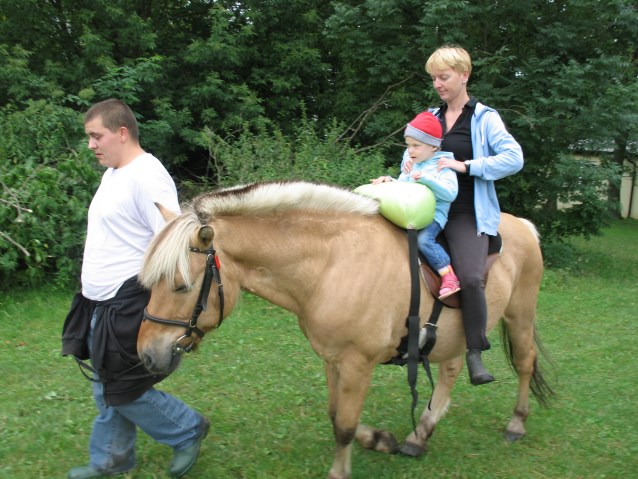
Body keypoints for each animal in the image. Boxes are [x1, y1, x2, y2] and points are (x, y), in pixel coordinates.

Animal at [138, 181, 552, 479]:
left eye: (180, 286)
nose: (146, 354)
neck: (332, 264)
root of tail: (523, 226)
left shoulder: (358, 362)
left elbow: (345, 427)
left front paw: (344, 468)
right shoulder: (332, 358)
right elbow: (337, 414)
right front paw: (382, 440)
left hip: (519, 315)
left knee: (525, 362)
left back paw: (516, 424)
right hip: (454, 334)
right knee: (450, 370)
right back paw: (420, 435)